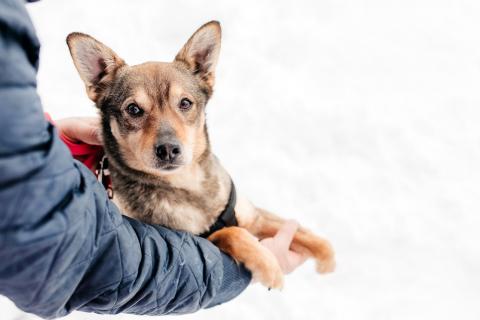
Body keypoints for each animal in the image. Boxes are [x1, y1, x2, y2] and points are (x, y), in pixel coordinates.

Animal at [65, 21, 336, 288]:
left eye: (185, 103)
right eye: (133, 109)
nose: (168, 149)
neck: (190, 186)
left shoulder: (253, 216)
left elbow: (301, 231)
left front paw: (327, 259)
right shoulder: (198, 241)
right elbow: (231, 232)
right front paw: (269, 265)